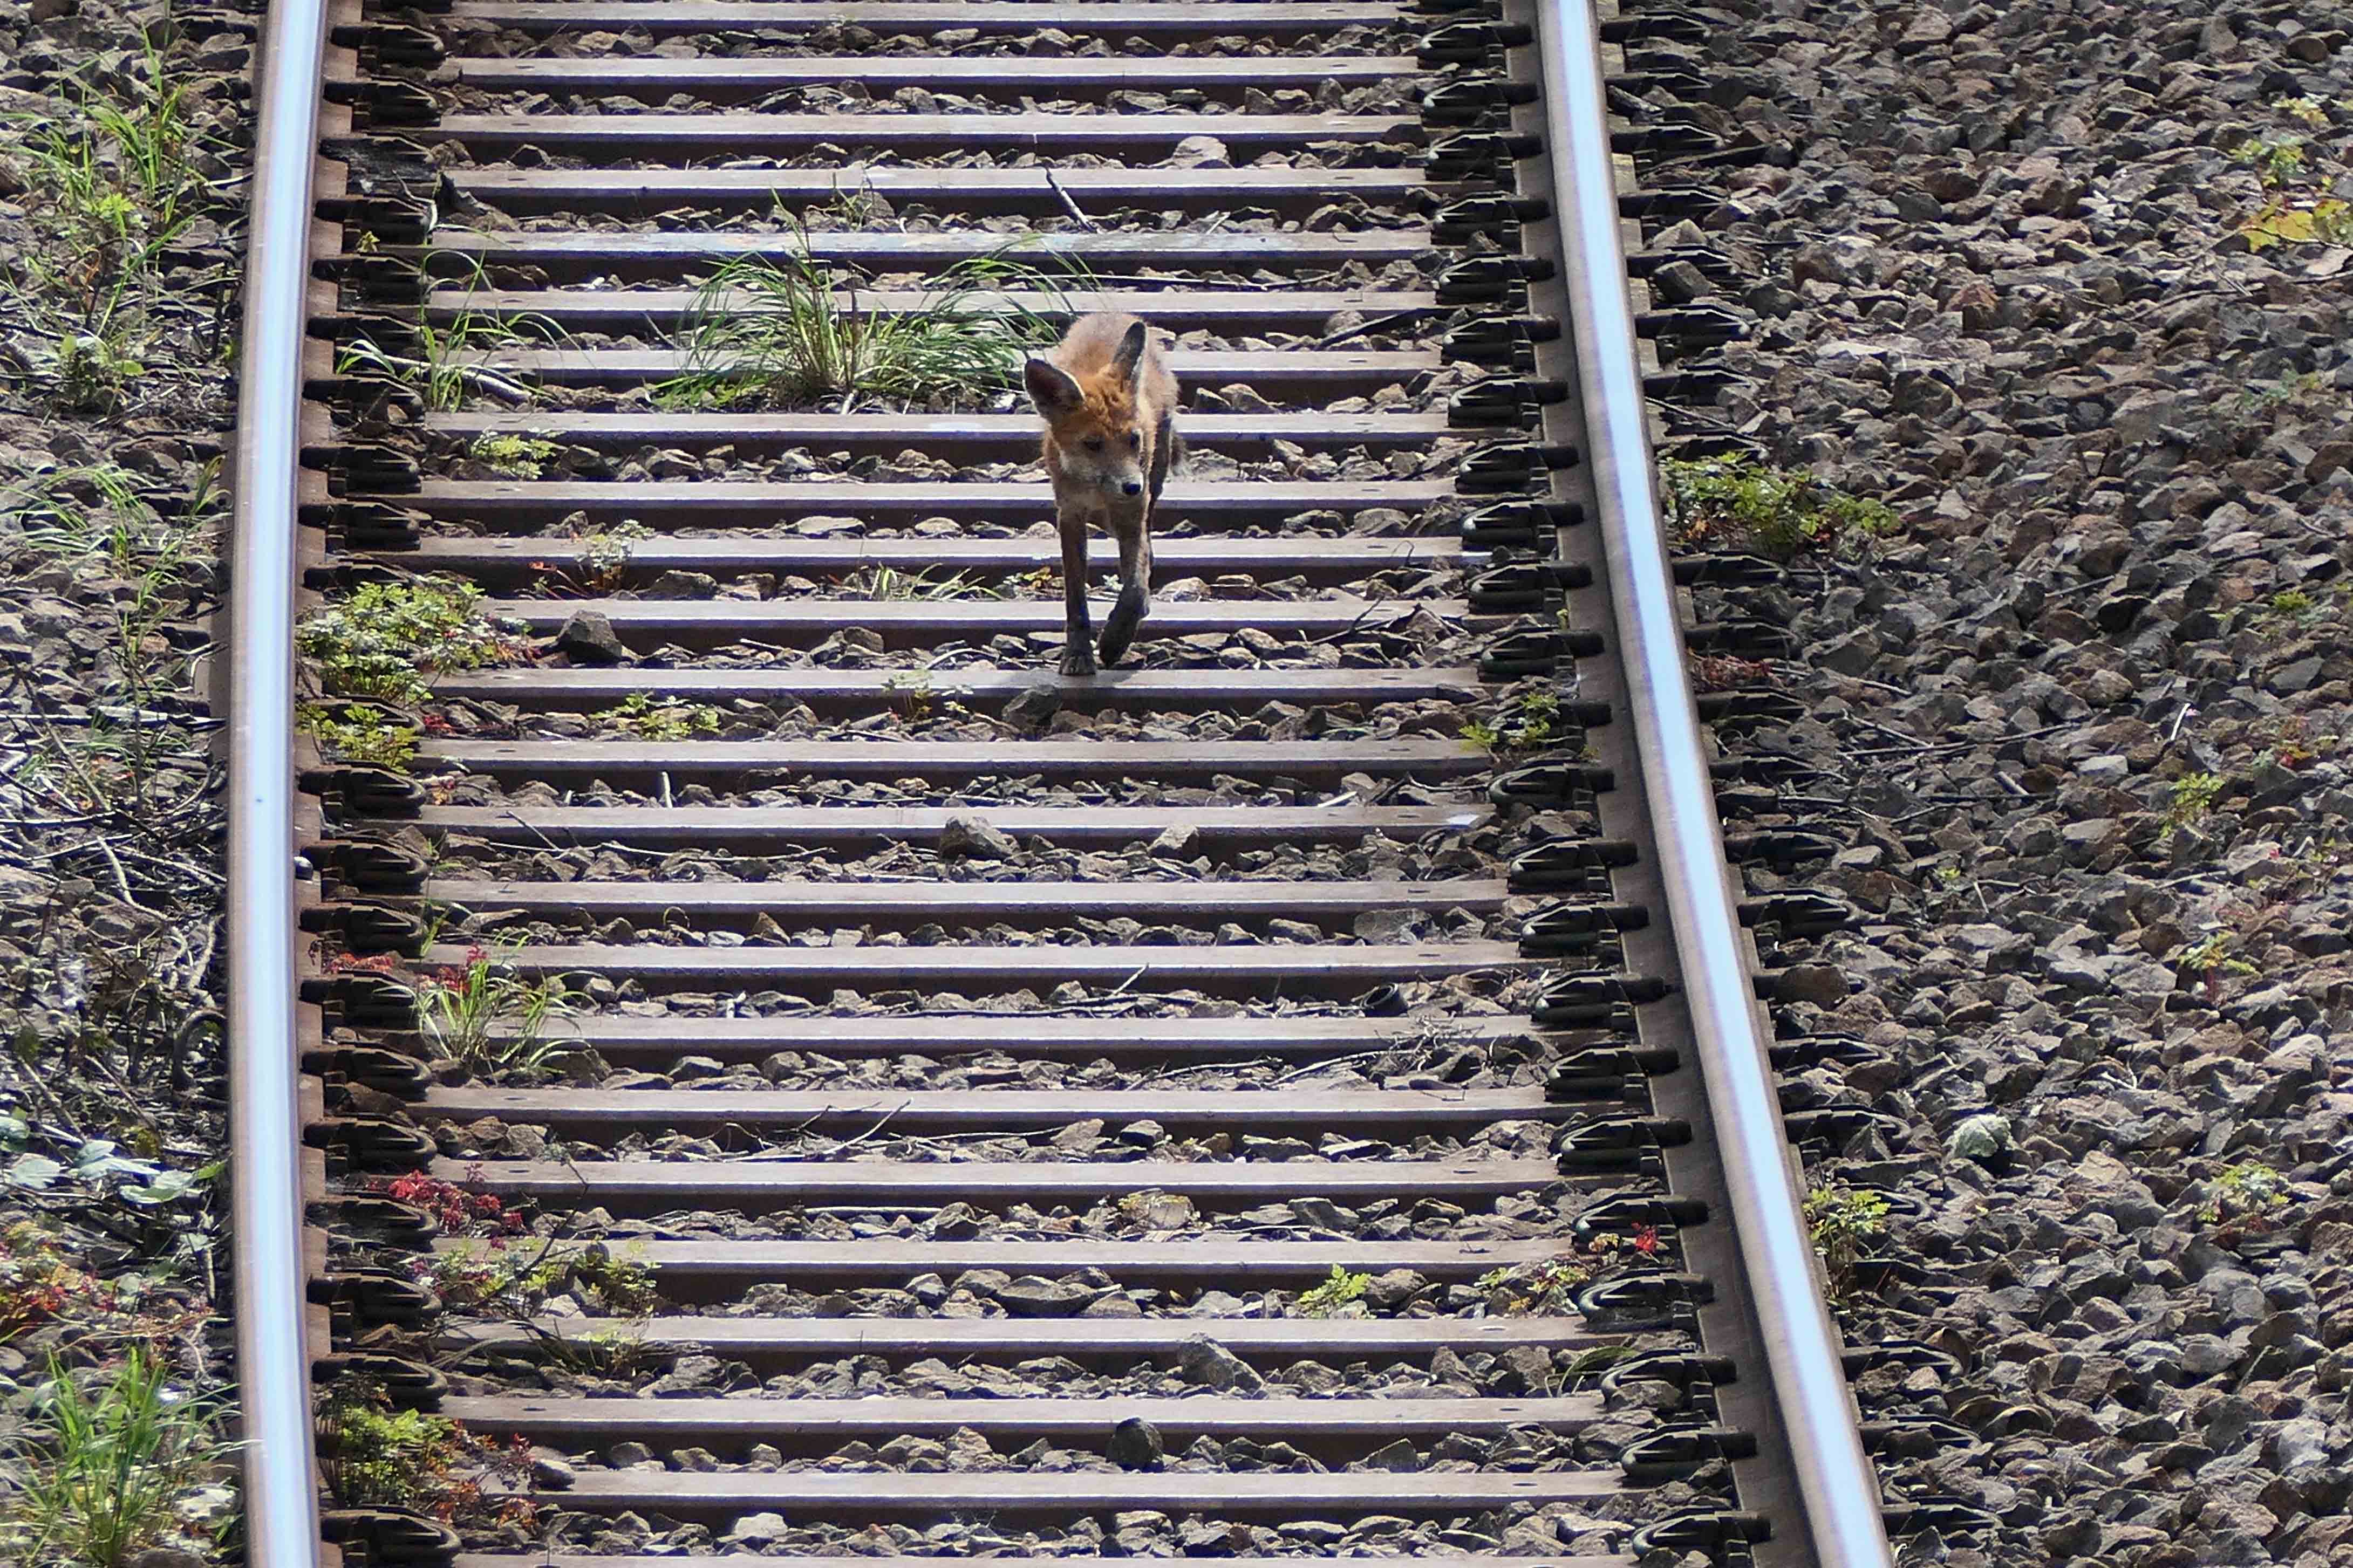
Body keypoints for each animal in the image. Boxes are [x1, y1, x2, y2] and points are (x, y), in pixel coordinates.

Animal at [1023, 312, 1182, 677]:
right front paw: (1078, 653)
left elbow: (1135, 588)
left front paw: (1115, 640)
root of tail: (1111, 316)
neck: (1097, 492)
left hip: (1156, 476)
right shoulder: (1069, 516)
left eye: (1134, 439)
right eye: (1093, 445)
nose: (1132, 486)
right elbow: (1075, 600)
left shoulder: (1133, 513)